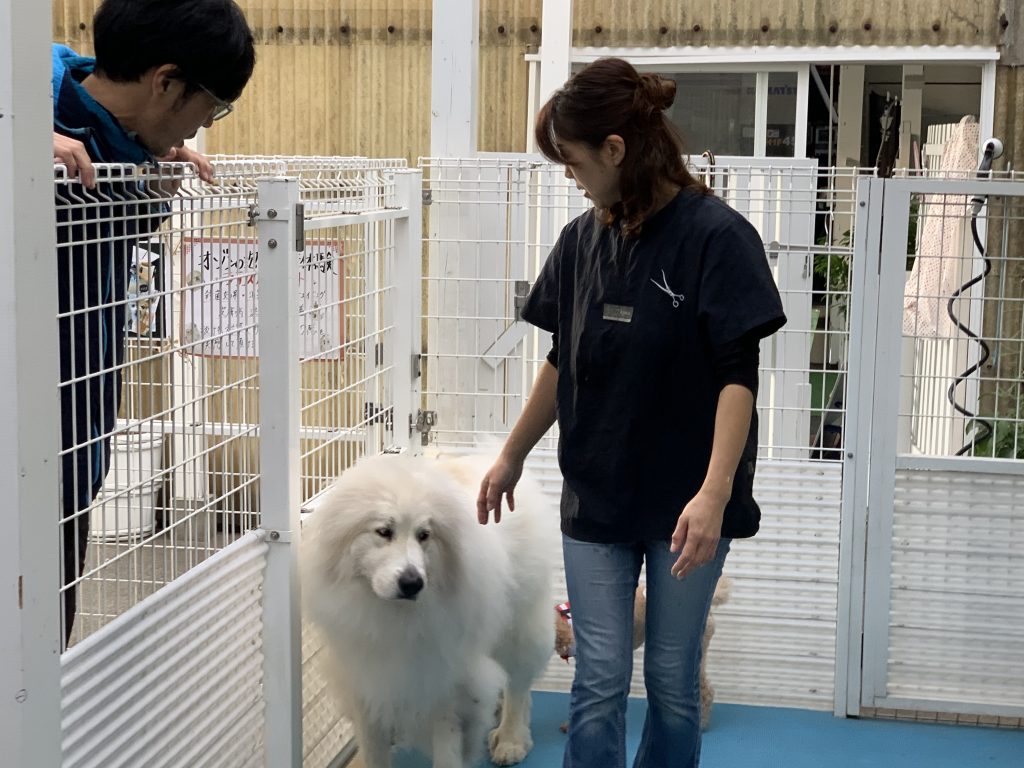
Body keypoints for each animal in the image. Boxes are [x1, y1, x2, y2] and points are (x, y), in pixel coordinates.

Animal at [299, 454, 552, 765]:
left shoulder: (446, 681)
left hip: (518, 629)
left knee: (518, 685)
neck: (393, 616)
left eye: (424, 535)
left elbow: (447, 748)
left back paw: (510, 739)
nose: (412, 583)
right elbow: (373, 748)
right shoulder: (366, 678)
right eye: (384, 532)